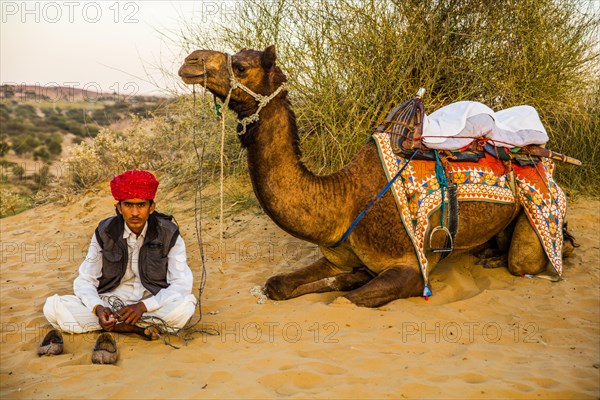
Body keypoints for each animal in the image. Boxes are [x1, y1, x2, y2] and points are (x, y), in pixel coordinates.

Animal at [177, 46, 568, 306]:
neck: (344, 198)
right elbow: (278, 284)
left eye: (241, 66)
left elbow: (351, 298)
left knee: (527, 257)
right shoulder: (336, 253)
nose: (190, 61)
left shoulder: (410, 268)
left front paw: (354, 282)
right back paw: (486, 254)